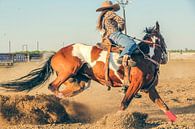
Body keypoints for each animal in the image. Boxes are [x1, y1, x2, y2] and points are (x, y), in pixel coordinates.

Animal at [0, 21, 177, 122]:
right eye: (163, 39)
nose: (165, 57)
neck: (144, 57)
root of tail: (55, 54)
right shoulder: (135, 85)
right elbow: (124, 103)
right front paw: (117, 119)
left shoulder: (149, 88)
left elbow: (163, 105)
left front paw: (176, 120)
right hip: (68, 72)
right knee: (53, 87)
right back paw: (60, 101)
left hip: (80, 81)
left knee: (67, 91)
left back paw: (64, 104)